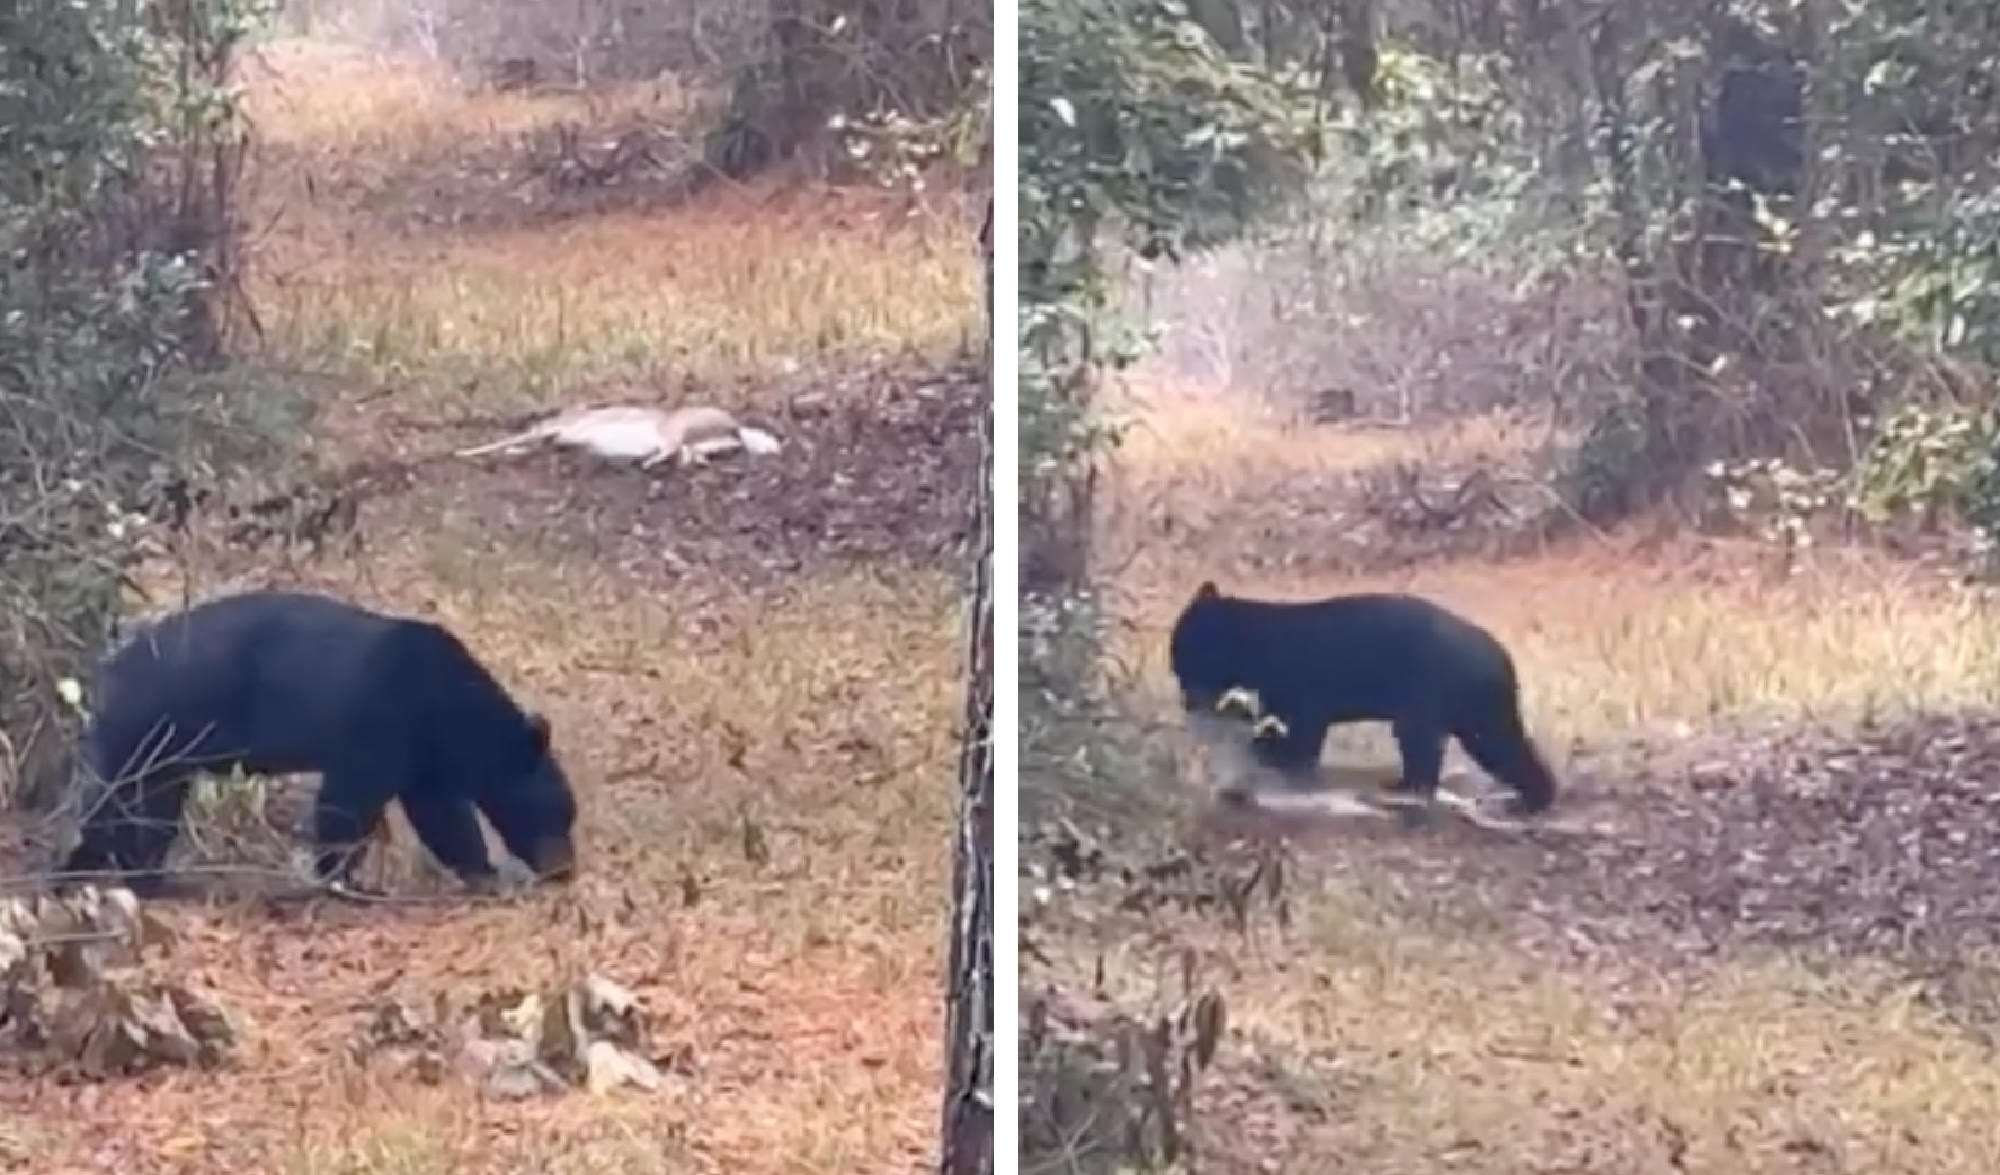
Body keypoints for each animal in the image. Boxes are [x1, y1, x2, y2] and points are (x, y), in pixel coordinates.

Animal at [60, 591, 580, 895]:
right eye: (558, 812)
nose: (566, 869)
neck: (450, 704)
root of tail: (106, 671)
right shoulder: (383, 717)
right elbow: (349, 802)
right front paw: (341, 876)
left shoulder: (422, 751)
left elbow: (440, 813)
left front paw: (480, 869)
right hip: (151, 728)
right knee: (117, 803)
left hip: (165, 750)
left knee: (146, 809)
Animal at [1168, 579, 1560, 815]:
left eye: (1183, 661)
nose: (1186, 701)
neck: (1253, 645)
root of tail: (1502, 657)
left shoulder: (1305, 688)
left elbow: (1304, 733)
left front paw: (1275, 752)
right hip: (1473, 706)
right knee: (1495, 745)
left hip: (1438, 693)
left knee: (1438, 741)